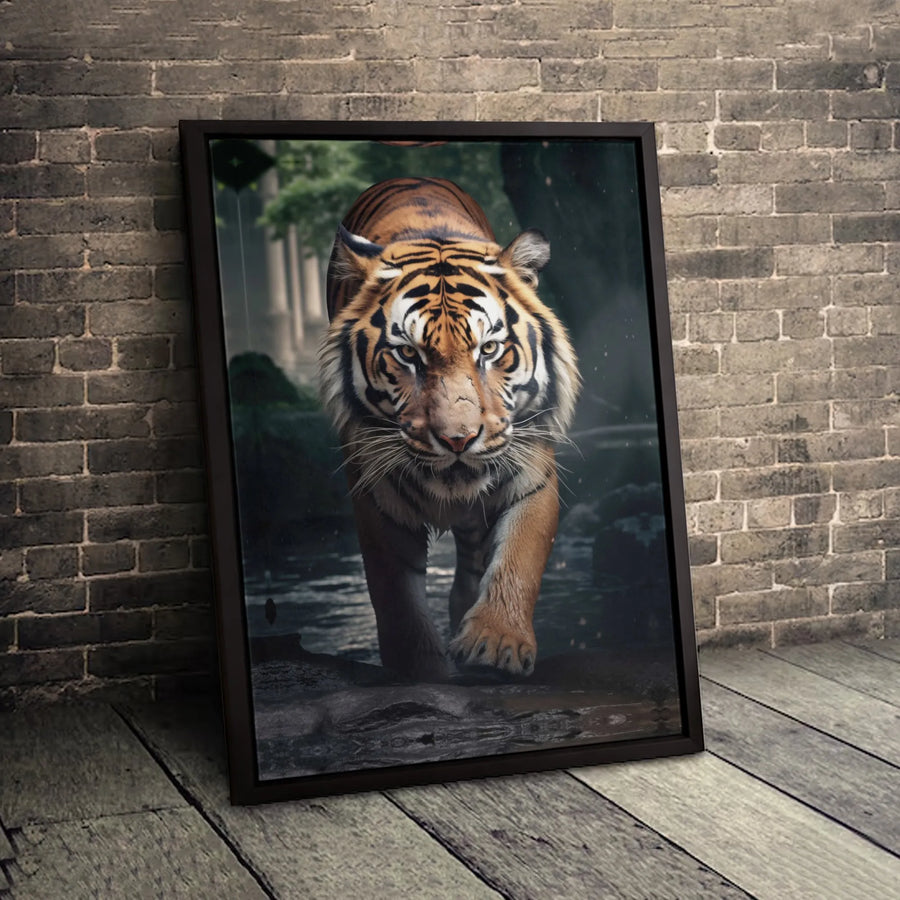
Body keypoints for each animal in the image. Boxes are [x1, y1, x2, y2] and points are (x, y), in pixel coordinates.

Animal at [320, 176, 580, 681]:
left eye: (490, 349)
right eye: (408, 354)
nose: (458, 440)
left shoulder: (532, 473)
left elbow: (519, 558)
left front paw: (495, 644)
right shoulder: (375, 497)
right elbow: (395, 596)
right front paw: (419, 670)